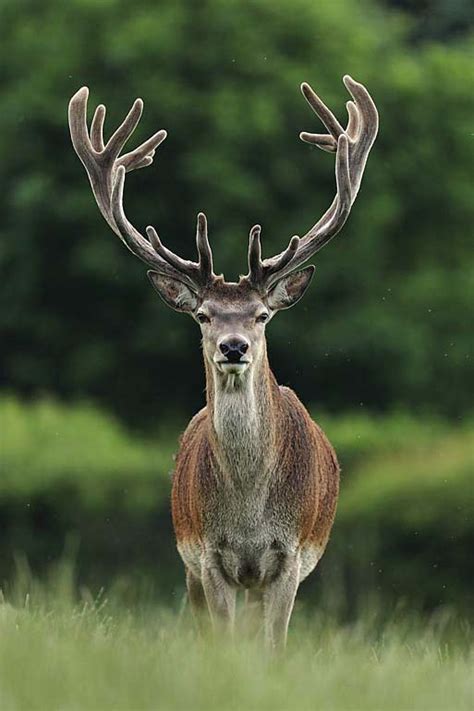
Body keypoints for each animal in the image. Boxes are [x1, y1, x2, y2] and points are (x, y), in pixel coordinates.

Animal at [68, 73, 378, 652]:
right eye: (204, 315)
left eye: (261, 315)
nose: (233, 347)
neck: (250, 515)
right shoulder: (209, 557)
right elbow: (222, 642)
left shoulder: (289, 557)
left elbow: (274, 647)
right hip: (190, 559)